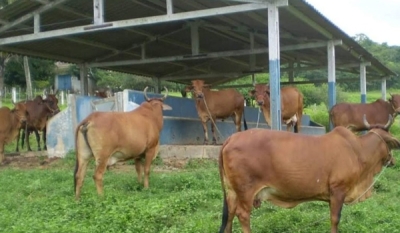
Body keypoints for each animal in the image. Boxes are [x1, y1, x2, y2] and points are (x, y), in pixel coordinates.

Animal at [219, 115, 400, 233]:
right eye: (390, 141)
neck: (358, 150)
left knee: (230, 215)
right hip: (246, 191)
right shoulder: (338, 190)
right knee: (242, 215)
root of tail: (231, 138)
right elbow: (335, 218)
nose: (393, 161)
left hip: (232, 192)